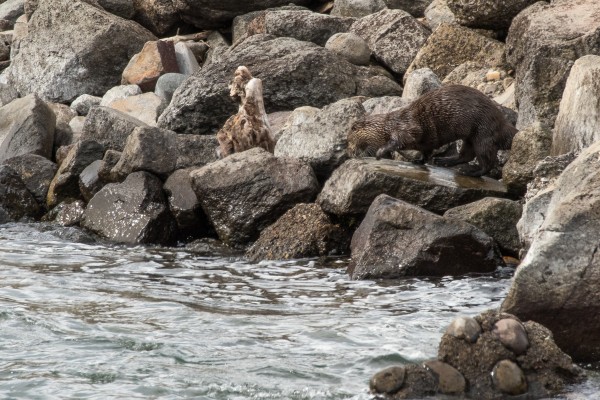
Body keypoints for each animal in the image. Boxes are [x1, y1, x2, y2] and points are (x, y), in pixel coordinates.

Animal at [350, 85, 516, 177]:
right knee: (467, 155)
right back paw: (444, 161)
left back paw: (471, 172)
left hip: (484, 133)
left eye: (349, 142)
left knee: (488, 161)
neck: (388, 125)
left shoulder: (406, 127)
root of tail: (504, 124)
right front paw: (418, 161)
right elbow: (426, 152)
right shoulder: (424, 142)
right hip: (471, 138)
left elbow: (401, 140)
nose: (351, 153)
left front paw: (380, 152)